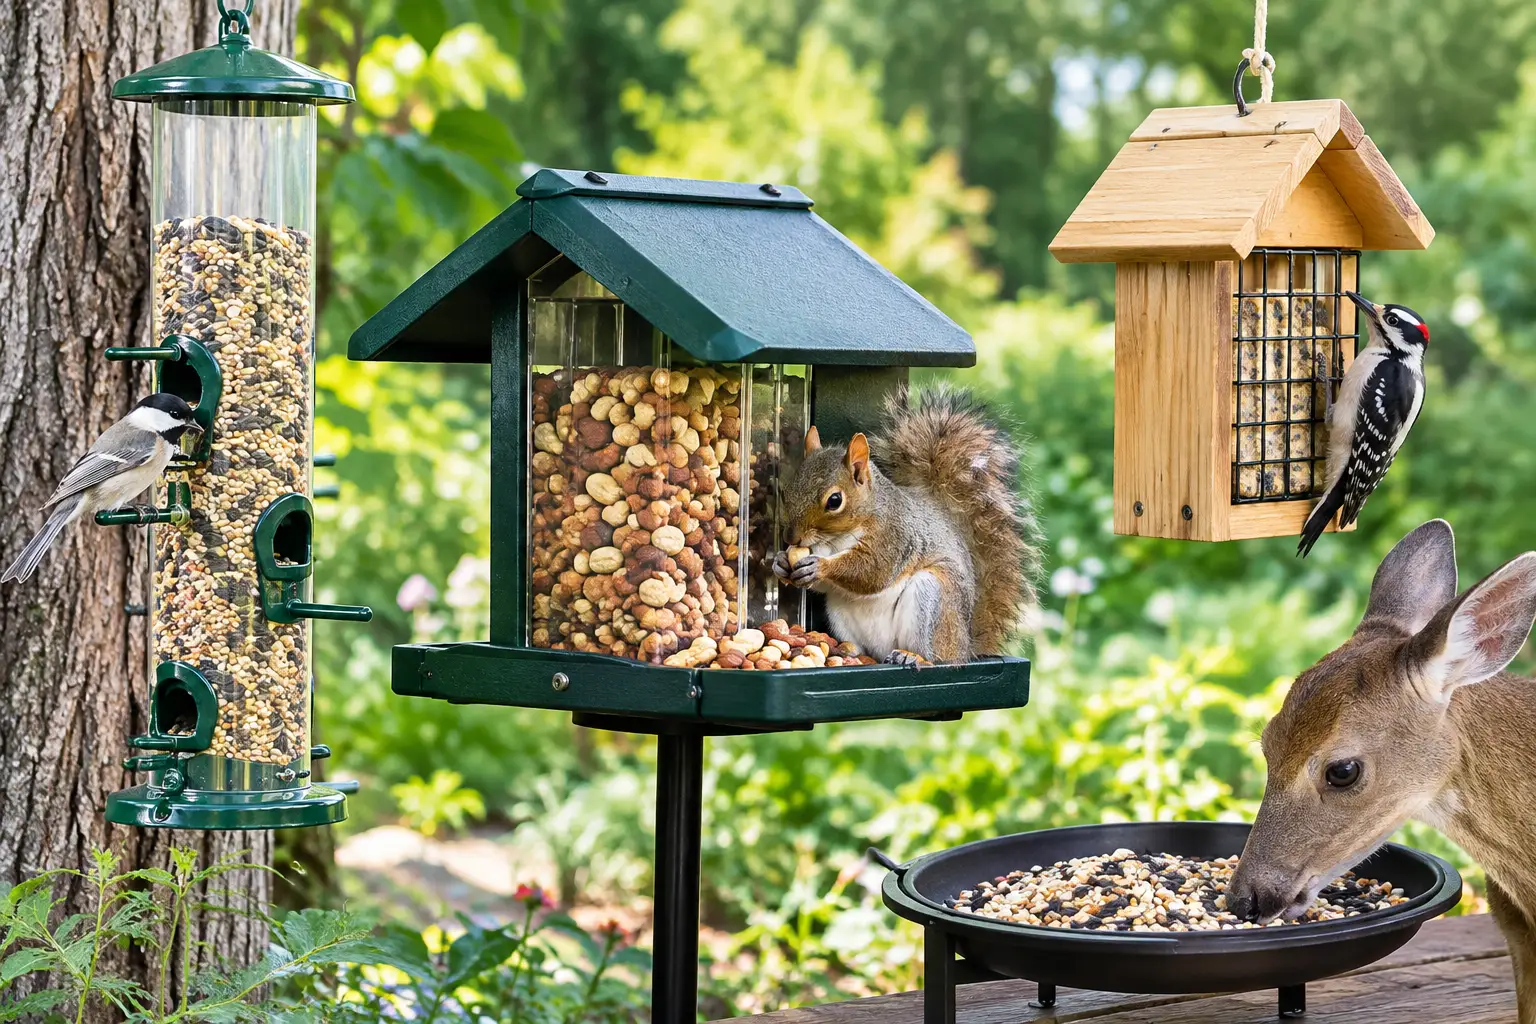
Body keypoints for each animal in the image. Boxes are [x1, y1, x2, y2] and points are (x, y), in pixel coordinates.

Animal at [771, 384, 1039, 664]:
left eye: (835, 501)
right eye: (786, 491)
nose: (791, 538)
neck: (837, 540)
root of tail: (965, 649)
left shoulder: (895, 536)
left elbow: (873, 570)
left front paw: (821, 567)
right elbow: (825, 585)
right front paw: (780, 562)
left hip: (931, 599)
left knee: (935, 656)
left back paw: (915, 657)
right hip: (839, 609)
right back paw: (849, 651)